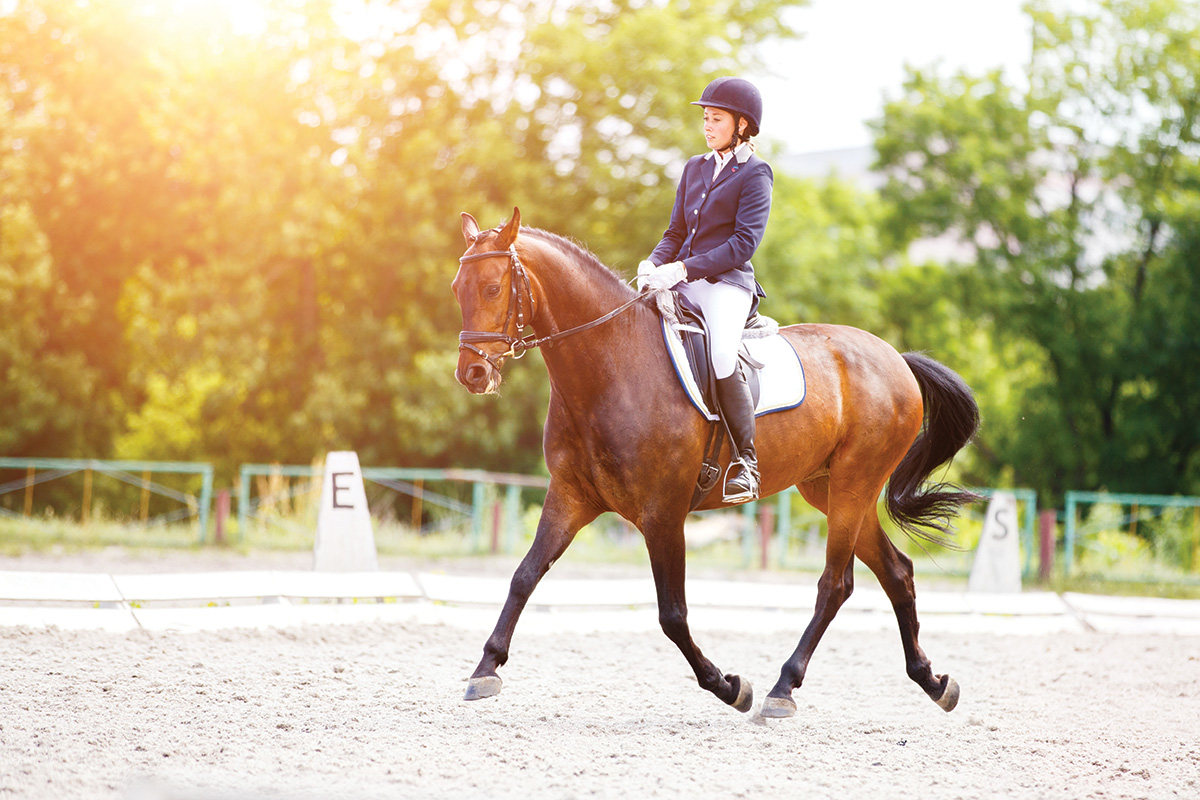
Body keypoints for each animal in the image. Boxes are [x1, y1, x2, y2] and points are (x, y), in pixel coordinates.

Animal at [453, 206, 979, 719]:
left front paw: (728, 686)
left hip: (854, 483)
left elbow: (672, 615)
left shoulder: (663, 514)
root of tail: (896, 359)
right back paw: (933, 682)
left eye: (494, 287)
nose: (472, 373)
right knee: (896, 572)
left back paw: (782, 690)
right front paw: (485, 669)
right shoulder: (571, 497)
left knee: (835, 584)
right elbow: (523, 577)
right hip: (832, 488)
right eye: (458, 288)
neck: (611, 366)